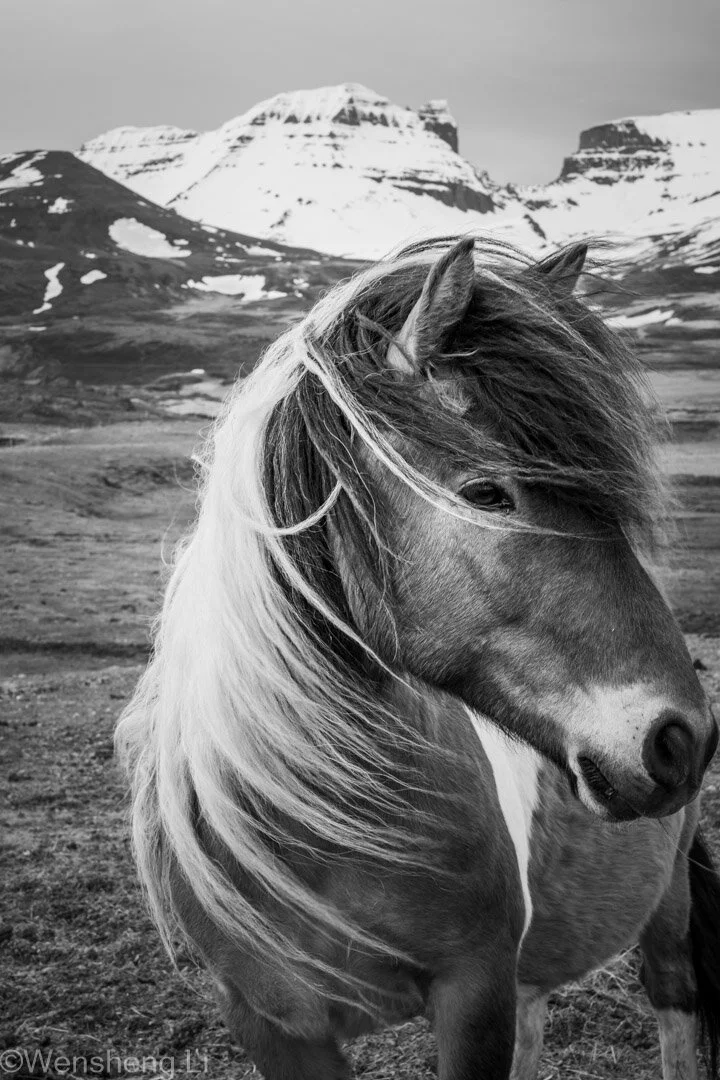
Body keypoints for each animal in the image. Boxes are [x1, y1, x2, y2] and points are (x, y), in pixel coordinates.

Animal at [116, 235, 718, 1080]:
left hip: (665, 909)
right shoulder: (273, 1023)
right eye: (487, 492)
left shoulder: (474, 993)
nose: (682, 738)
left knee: (674, 1007)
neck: (323, 832)